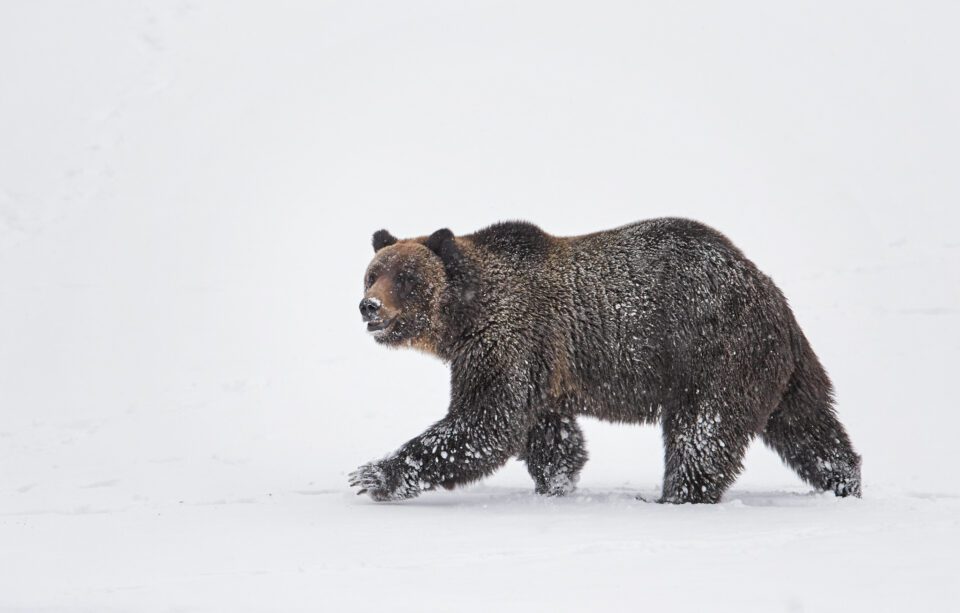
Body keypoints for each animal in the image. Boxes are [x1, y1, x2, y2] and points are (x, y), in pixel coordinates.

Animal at [348, 219, 860, 502]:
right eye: (372, 274)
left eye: (407, 278)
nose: (369, 307)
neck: (464, 319)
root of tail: (766, 288)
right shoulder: (540, 364)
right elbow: (549, 436)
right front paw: (557, 483)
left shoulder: (507, 339)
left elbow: (485, 421)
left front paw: (372, 474)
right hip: (781, 368)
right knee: (808, 427)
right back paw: (845, 481)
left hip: (713, 352)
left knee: (703, 432)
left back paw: (677, 495)